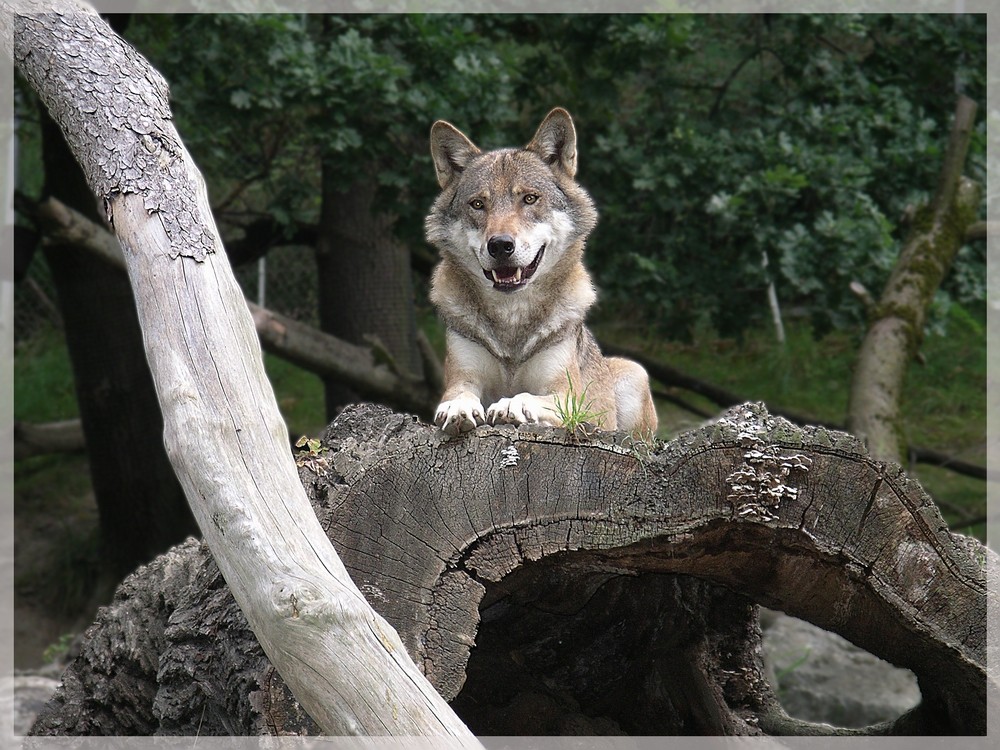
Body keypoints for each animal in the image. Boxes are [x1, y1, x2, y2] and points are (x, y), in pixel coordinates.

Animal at [422, 108, 656, 444]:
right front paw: (458, 410)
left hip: (634, 374)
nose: (500, 245)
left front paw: (510, 406)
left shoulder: (566, 395)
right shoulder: (461, 378)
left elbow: (527, 397)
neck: (512, 319)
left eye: (529, 199)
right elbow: (460, 395)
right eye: (478, 204)